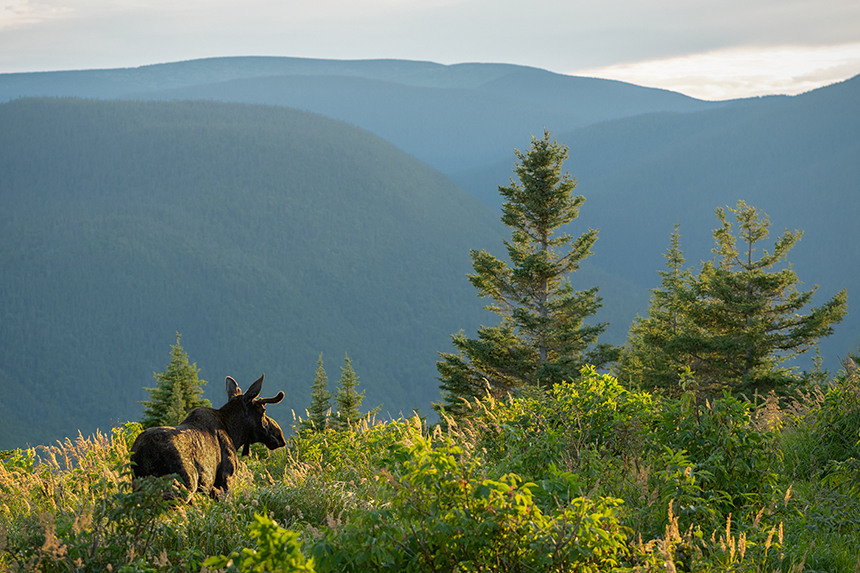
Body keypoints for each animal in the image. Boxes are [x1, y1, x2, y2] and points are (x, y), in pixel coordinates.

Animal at [130, 374, 286, 498]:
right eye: (263, 410)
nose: (280, 436)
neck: (235, 435)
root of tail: (141, 454)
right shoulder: (225, 478)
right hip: (182, 486)